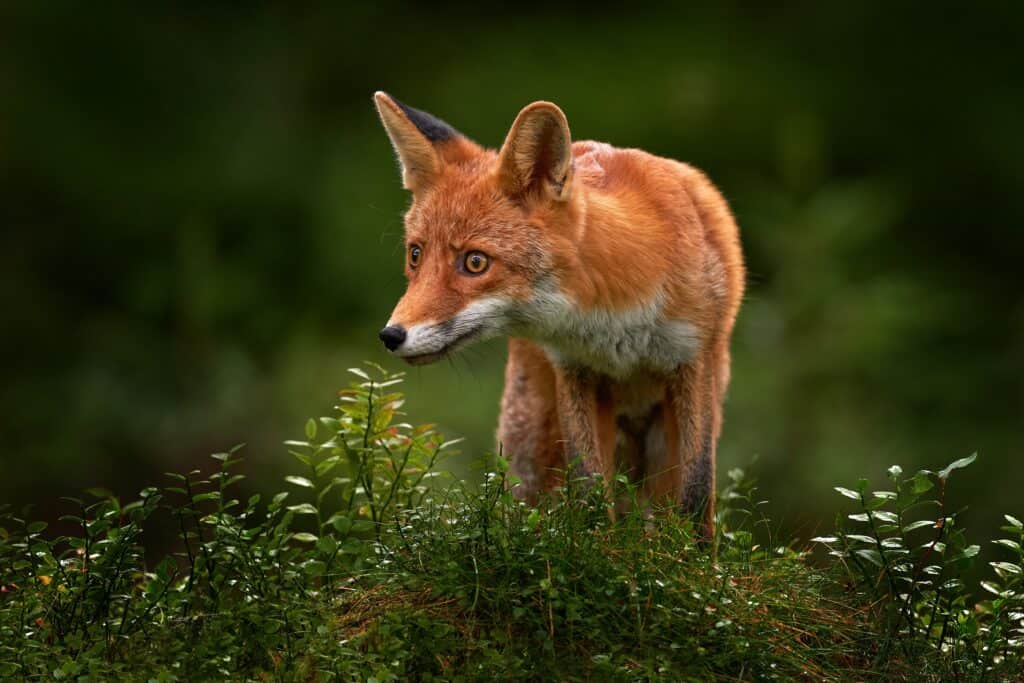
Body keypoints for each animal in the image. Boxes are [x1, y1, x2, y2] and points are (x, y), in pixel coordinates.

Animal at [372, 92, 741, 540]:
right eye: (415, 254)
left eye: (475, 262)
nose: (391, 335)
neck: (616, 320)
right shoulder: (575, 372)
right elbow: (590, 489)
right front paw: (601, 549)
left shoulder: (692, 363)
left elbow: (696, 491)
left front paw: (695, 555)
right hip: (533, 446)